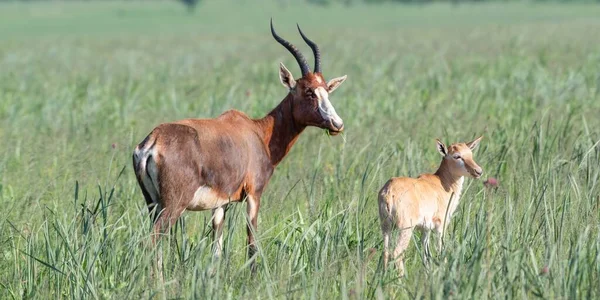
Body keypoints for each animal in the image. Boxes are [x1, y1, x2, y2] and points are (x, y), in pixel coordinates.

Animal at [131, 19, 346, 274]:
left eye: (326, 90)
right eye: (309, 92)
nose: (337, 124)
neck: (256, 131)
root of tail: (152, 141)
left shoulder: (221, 204)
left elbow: (216, 246)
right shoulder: (254, 194)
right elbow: (252, 241)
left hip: (152, 203)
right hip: (173, 205)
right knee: (153, 240)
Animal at [380, 137, 482, 276]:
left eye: (470, 154)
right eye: (457, 156)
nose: (478, 171)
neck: (441, 182)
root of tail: (389, 191)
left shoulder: (425, 229)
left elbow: (426, 253)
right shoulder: (440, 226)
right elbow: (440, 250)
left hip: (386, 227)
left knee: (385, 252)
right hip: (405, 229)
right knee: (396, 252)